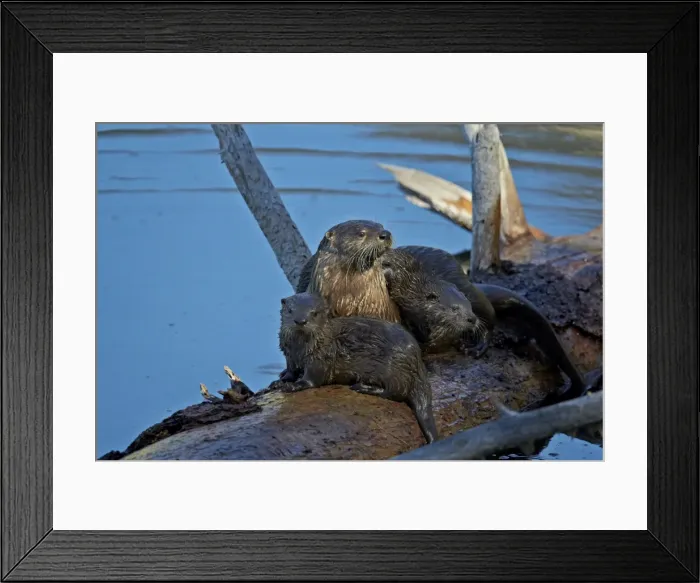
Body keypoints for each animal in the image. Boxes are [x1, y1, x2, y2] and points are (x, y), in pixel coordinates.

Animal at [273, 292, 439, 444]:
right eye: (290, 310)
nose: (300, 321)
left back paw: (364, 387)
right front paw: (279, 381)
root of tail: (417, 361)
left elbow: (311, 380)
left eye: (314, 313)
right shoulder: (289, 356)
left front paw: (293, 385)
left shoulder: (320, 358)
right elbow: (291, 370)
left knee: (395, 392)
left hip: (395, 369)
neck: (300, 350)